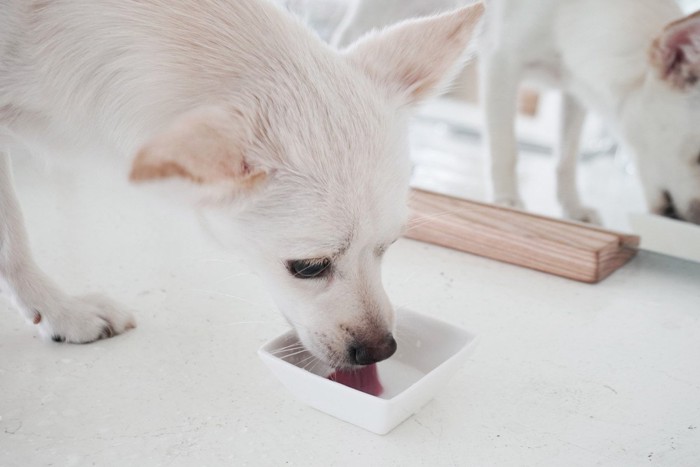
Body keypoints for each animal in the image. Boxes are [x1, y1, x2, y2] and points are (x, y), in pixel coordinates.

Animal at [478, 0, 700, 223]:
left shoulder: (574, 91)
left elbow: (566, 157)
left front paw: (573, 208)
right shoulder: (502, 63)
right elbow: (505, 149)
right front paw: (507, 199)